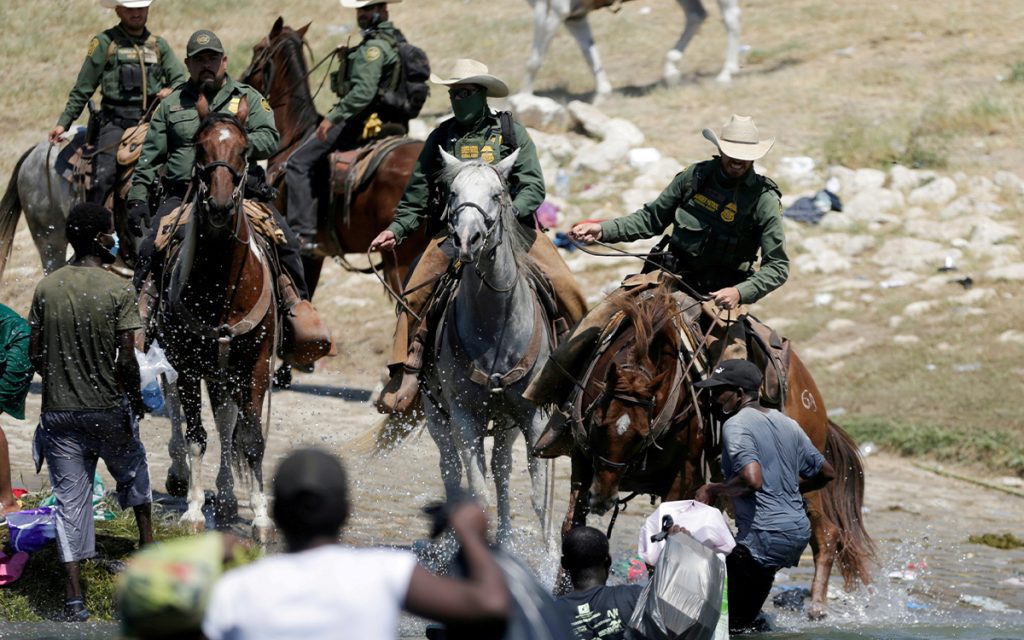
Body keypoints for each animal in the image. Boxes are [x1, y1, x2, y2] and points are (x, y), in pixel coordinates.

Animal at [156, 98, 276, 540]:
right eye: (200, 146)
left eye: (243, 149)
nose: (222, 205)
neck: (223, 286)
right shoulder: (189, 366)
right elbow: (196, 437)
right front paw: (193, 510)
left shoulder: (256, 364)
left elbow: (252, 439)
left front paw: (261, 517)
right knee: (196, 418)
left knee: (227, 423)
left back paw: (226, 499)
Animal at [421, 148, 557, 544]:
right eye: (452, 193)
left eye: (497, 194)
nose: (468, 239)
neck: (496, 328)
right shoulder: (463, 416)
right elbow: (477, 494)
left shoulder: (533, 416)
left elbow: (539, 498)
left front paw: (548, 557)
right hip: (437, 417)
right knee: (451, 470)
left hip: (506, 423)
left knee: (501, 469)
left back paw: (506, 536)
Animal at [524, 0, 741, 96]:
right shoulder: (574, 16)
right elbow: (589, 52)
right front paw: (603, 92)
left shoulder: (554, 11)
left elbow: (535, 60)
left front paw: (524, 100)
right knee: (696, 15)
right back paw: (671, 69)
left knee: (731, 17)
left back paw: (726, 73)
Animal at [561, 282, 872, 618]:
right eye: (597, 423)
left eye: (642, 432)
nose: (603, 498)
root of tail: (812, 395)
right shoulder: (584, 462)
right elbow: (571, 528)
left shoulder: (683, 476)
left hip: (807, 485)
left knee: (826, 533)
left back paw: (816, 606)